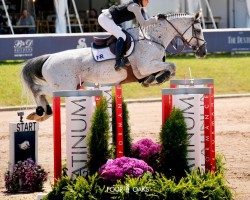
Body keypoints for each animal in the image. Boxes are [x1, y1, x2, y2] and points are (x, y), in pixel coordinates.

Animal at [21, 13, 206, 122]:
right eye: (197, 29)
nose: (203, 52)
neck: (152, 38)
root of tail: (49, 58)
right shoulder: (145, 67)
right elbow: (171, 67)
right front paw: (157, 78)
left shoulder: (150, 66)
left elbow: (167, 68)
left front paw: (153, 79)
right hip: (64, 87)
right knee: (38, 89)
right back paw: (41, 112)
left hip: (72, 86)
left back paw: (42, 113)